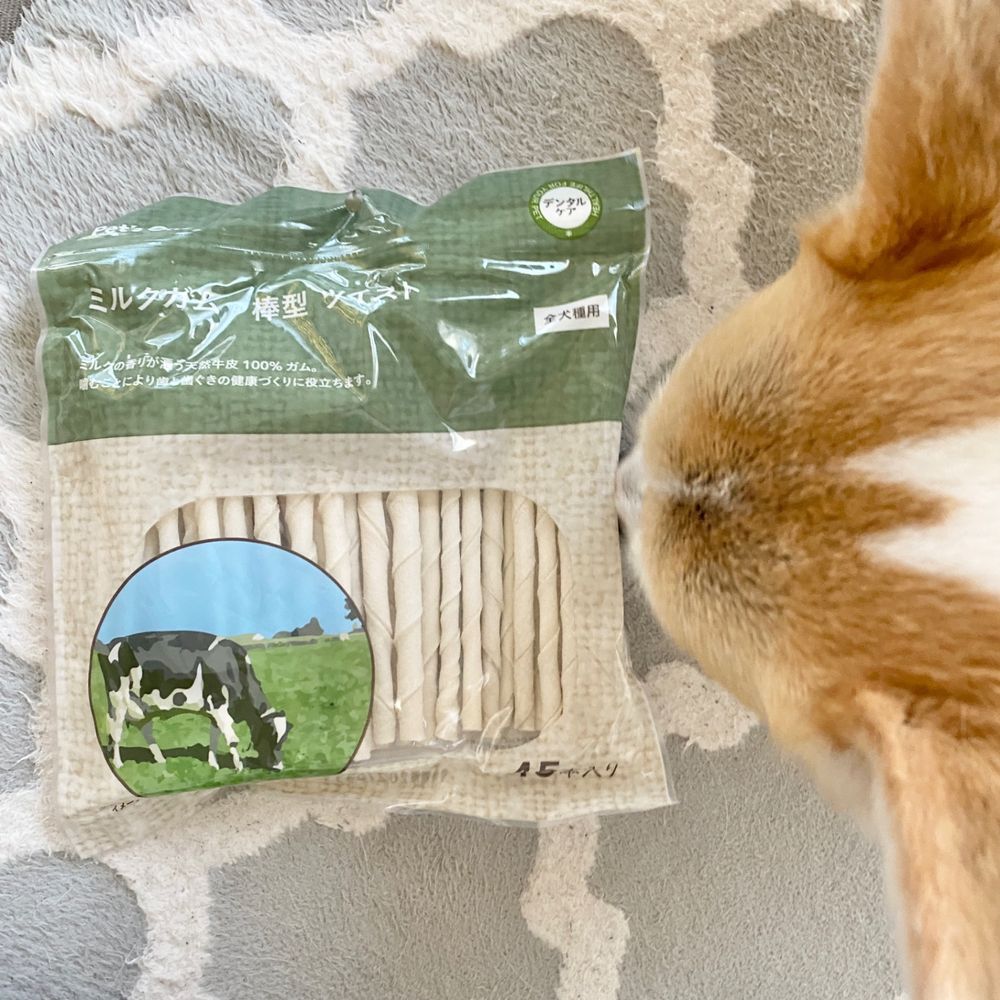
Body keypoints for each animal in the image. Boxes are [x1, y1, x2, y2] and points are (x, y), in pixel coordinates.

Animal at [94, 631, 290, 773]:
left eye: (283, 740)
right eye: (271, 736)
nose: (279, 767)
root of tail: (113, 642)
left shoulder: (214, 712)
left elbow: (214, 738)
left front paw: (213, 765)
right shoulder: (218, 703)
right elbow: (232, 739)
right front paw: (239, 767)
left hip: (140, 704)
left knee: (145, 728)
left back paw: (161, 759)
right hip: (119, 700)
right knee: (116, 730)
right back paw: (118, 763)